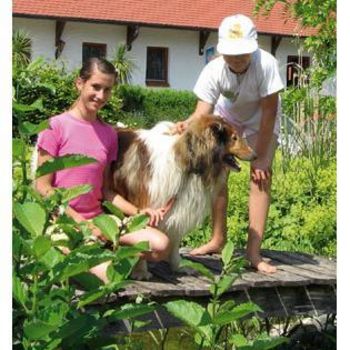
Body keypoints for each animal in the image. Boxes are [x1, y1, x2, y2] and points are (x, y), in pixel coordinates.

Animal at [110, 115, 256, 276]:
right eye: (234, 137)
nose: (255, 155)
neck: (188, 165)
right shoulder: (146, 207)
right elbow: (142, 242)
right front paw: (140, 272)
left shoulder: (176, 209)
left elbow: (174, 242)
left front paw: (179, 266)